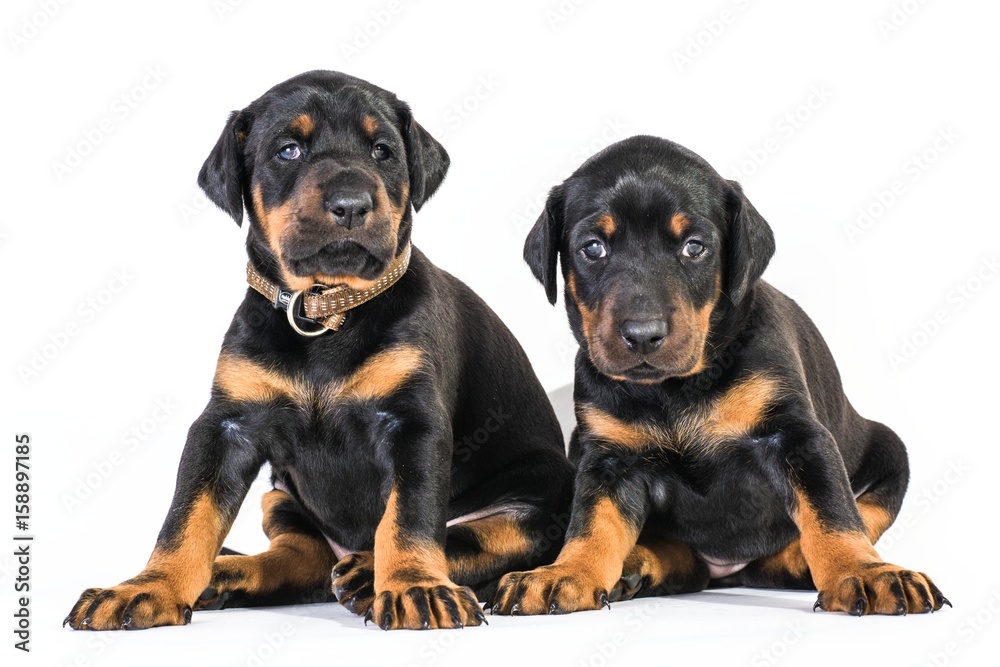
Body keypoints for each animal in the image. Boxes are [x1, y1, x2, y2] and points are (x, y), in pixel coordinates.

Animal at [64, 70, 573, 632]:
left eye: (382, 151)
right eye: (288, 150)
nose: (351, 205)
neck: (325, 312)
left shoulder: (415, 423)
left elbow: (410, 518)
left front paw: (414, 587)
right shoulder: (226, 425)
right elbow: (186, 517)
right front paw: (146, 588)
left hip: (536, 504)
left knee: (465, 537)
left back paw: (365, 573)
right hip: (279, 495)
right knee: (302, 559)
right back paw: (228, 572)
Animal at [491, 135, 949, 616]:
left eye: (695, 247)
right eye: (593, 248)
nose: (643, 335)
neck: (674, 390)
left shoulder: (797, 437)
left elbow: (833, 512)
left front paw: (863, 572)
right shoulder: (607, 457)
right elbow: (590, 522)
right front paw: (565, 572)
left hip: (889, 449)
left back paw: (802, 561)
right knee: (685, 563)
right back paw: (638, 564)